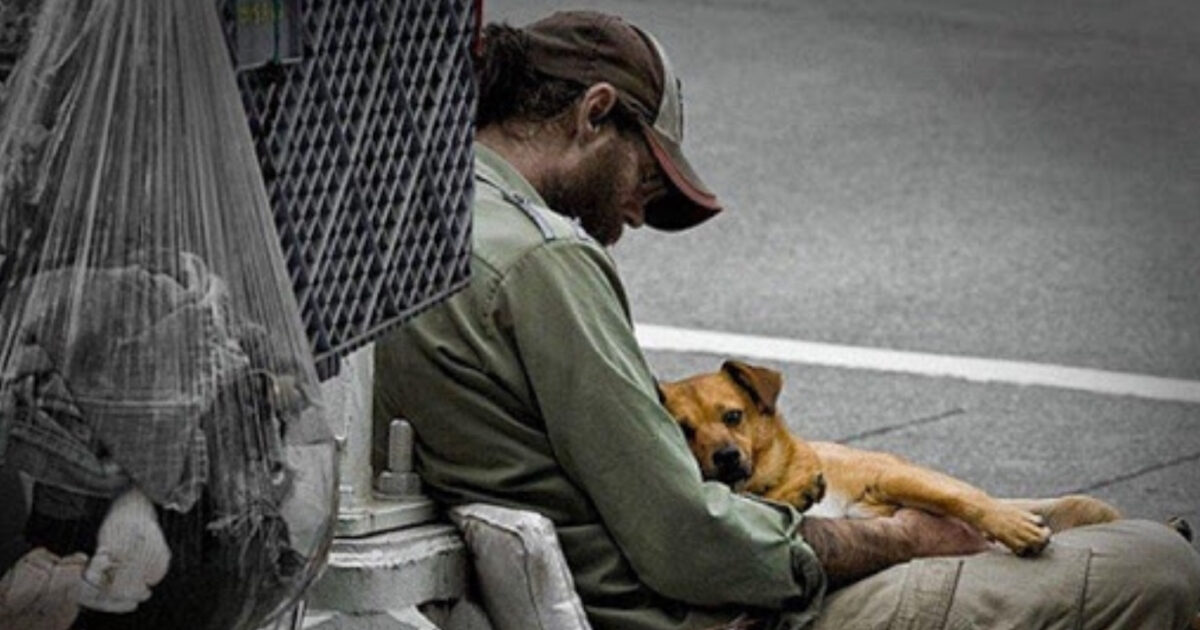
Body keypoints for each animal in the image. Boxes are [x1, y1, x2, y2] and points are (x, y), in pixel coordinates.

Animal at [657, 357, 1123, 554]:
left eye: (733, 415)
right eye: (684, 430)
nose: (726, 458)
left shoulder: (890, 476)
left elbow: (961, 498)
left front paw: (1012, 527)